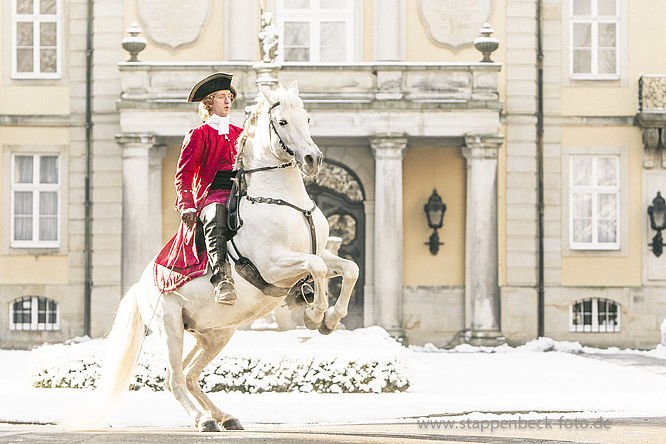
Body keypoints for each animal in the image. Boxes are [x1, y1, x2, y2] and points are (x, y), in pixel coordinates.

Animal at [89, 82, 358, 430]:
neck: (284, 200)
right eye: (282, 122)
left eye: (308, 118)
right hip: (170, 327)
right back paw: (202, 419)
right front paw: (315, 315)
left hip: (214, 333)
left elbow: (348, 269)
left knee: (190, 375)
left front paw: (330, 318)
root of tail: (140, 286)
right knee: (174, 378)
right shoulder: (273, 264)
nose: (313, 158)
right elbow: (318, 269)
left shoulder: (321, 251)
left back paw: (224, 417)